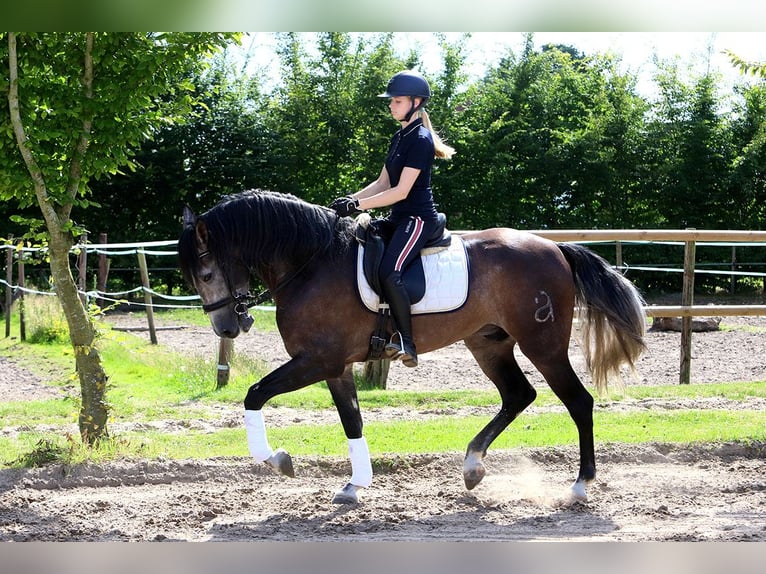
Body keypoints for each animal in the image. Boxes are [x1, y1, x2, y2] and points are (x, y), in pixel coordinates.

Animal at [178, 189, 646, 504]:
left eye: (206, 272)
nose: (227, 328)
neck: (311, 263)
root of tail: (554, 248)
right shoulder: (335, 367)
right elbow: (352, 421)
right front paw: (354, 485)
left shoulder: (317, 360)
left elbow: (254, 394)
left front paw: (277, 460)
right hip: (488, 344)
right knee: (518, 395)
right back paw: (472, 467)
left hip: (542, 345)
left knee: (578, 401)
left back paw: (580, 485)